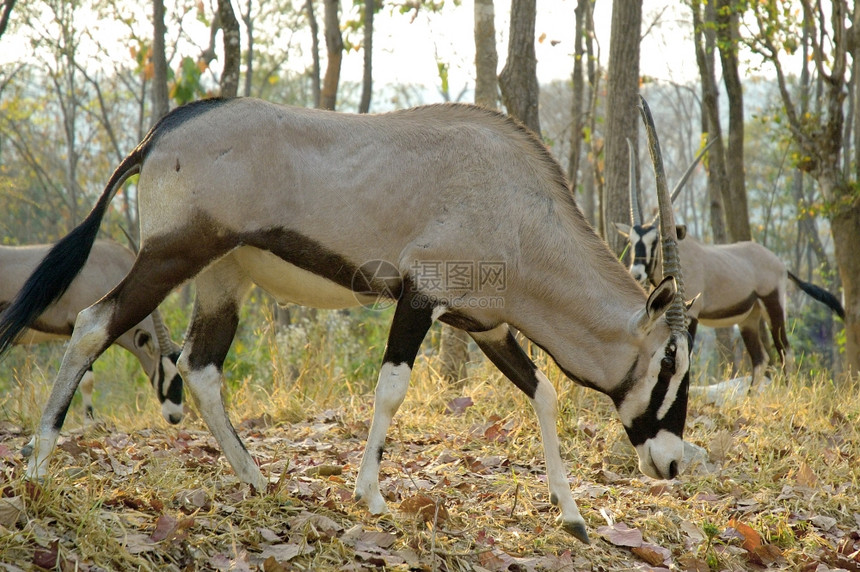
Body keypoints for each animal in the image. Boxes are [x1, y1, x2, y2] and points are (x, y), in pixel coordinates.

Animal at [616, 142, 844, 388]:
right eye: (631, 241)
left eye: (655, 241)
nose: (636, 272)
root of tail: (781, 265)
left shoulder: (691, 313)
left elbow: (687, 354)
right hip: (749, 319)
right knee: (760, 359)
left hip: (773, 306)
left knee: (785, 351)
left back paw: (787, 390)